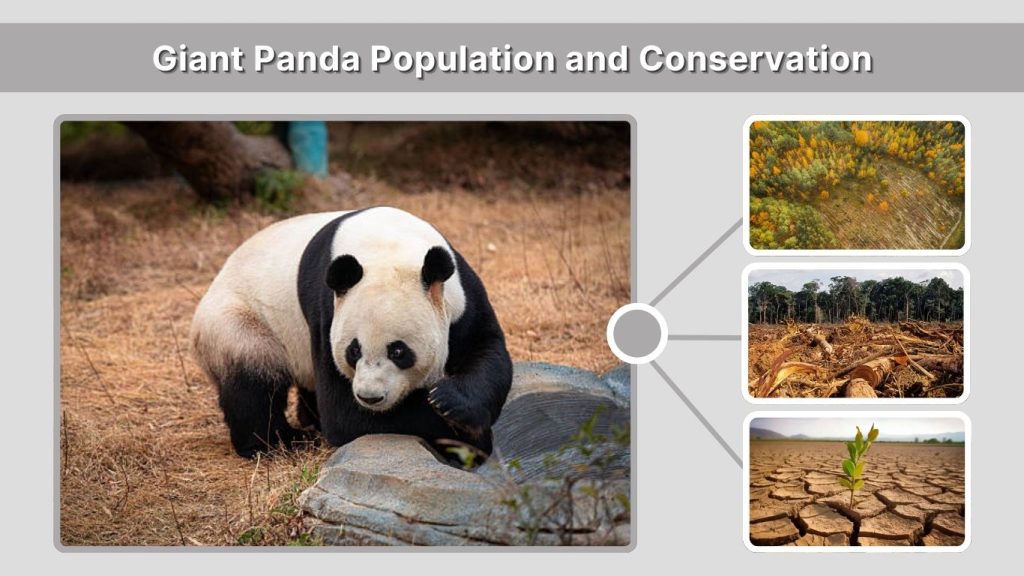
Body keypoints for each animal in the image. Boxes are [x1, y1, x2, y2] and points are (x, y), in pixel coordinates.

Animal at [190, 206, 513, 459]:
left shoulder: (461, 298)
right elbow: (344, 414)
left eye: (399, 351)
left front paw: (452, 403)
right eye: (353, 350)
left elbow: (488, 351)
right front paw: (470, 436)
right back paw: (278, 443)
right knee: (253, 379)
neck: (387, 245)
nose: (370, 397)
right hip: (239, 320)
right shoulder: (327, 312)